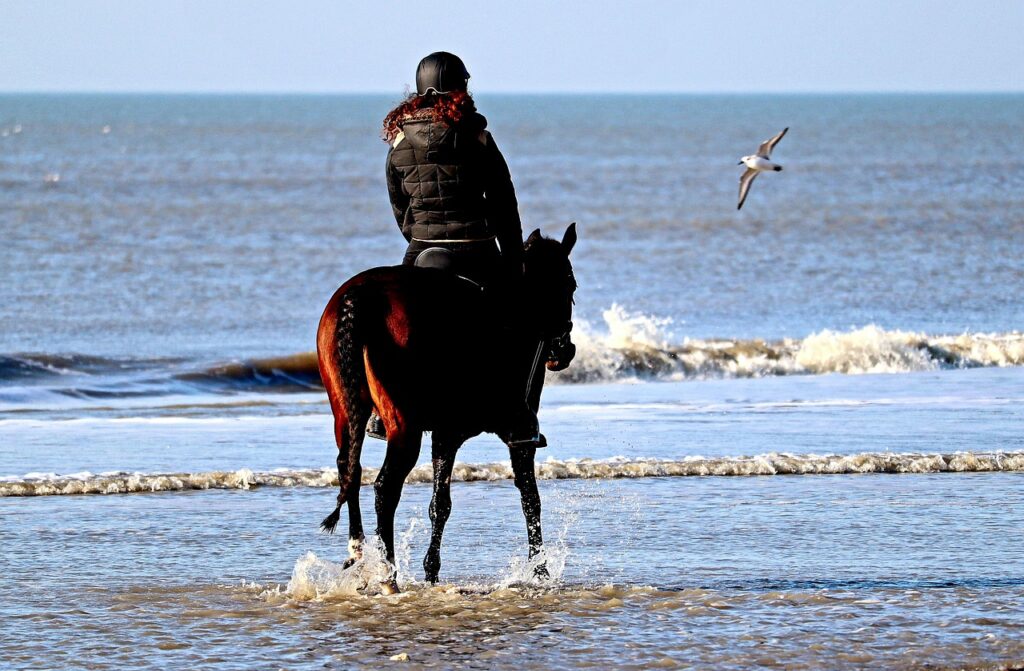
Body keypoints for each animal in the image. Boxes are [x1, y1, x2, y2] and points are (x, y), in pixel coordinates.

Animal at [315, 224, 578, 593]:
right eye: (570, 285)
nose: (562, 350)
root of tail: (359, 296)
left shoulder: (444, 434)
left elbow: (439, 505)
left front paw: (431, 572)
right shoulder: (512, 437)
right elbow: (530, 499)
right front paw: (539, 571)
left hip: (346, 411)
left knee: (348, 471)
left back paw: (360, 554)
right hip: (405, 427)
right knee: (385, 488)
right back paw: (387, 574)